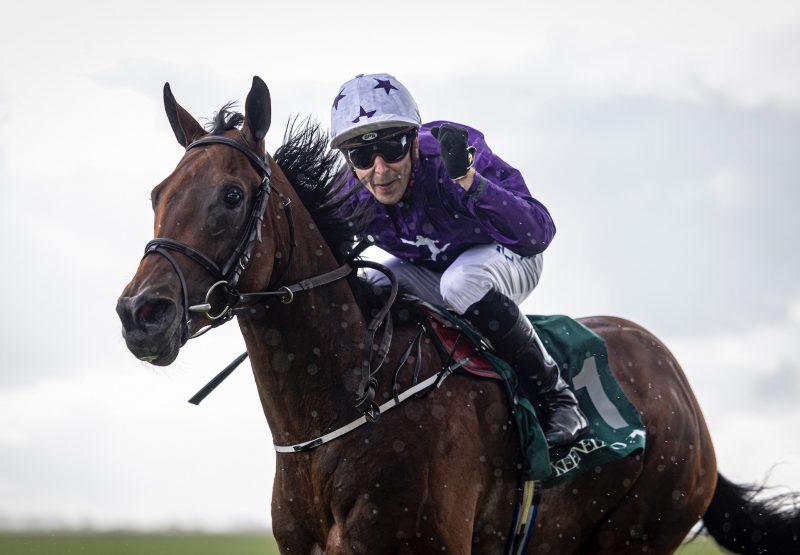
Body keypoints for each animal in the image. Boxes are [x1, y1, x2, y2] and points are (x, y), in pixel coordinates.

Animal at [115, 76, 796, 552]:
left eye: (232, 195)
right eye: (156, 194)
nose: (140, 313)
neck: (344, 408)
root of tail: (678, 384)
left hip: (639, 532)